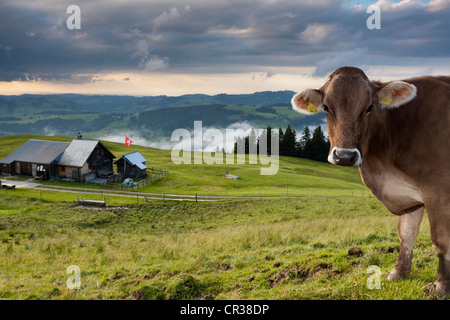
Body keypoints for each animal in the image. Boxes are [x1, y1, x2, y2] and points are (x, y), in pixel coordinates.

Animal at [292, 66, 450, 298]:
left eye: (369, 107)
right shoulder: (410, 193)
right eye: (326, 107)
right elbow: (406, 233)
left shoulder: (438, 191)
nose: (345, 156)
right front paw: (398, 272)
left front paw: (441, 286)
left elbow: (441, 240)